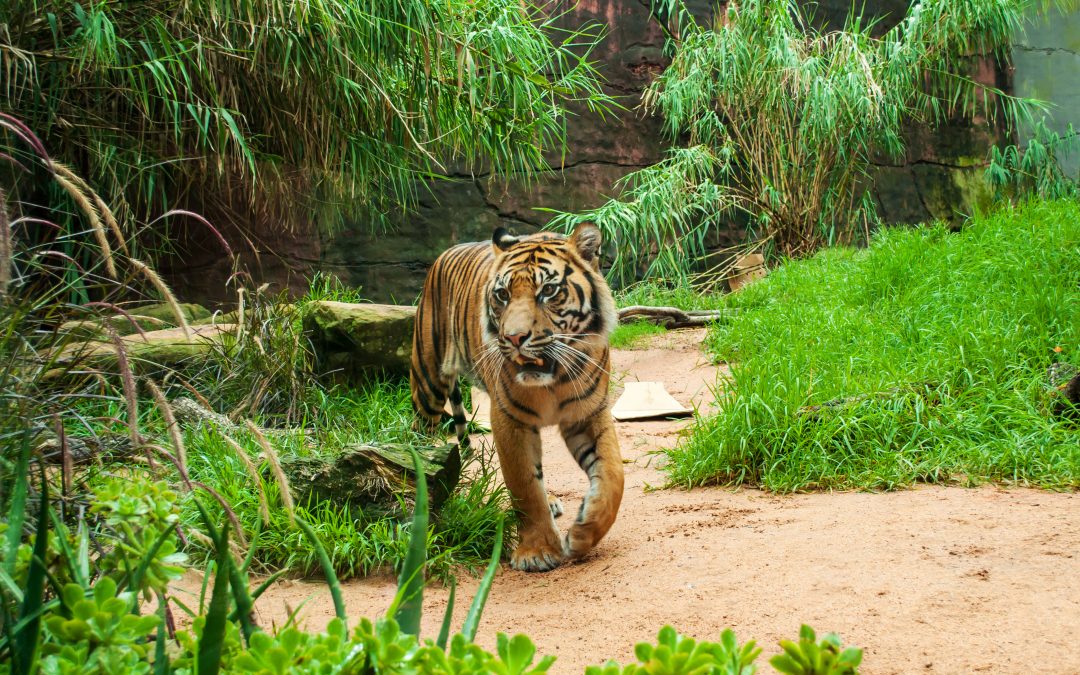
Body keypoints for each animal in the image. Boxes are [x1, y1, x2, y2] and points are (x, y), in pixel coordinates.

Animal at [408, 223, 622, 570]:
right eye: (502, 295)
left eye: (548, 290)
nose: (514, 338)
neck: (554, 380)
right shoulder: (509, 419)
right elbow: (524, 485)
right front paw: (537, 552)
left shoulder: (588, 413)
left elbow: (614, 475)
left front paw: (583, 533)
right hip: (428, 383)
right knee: (420, 437)